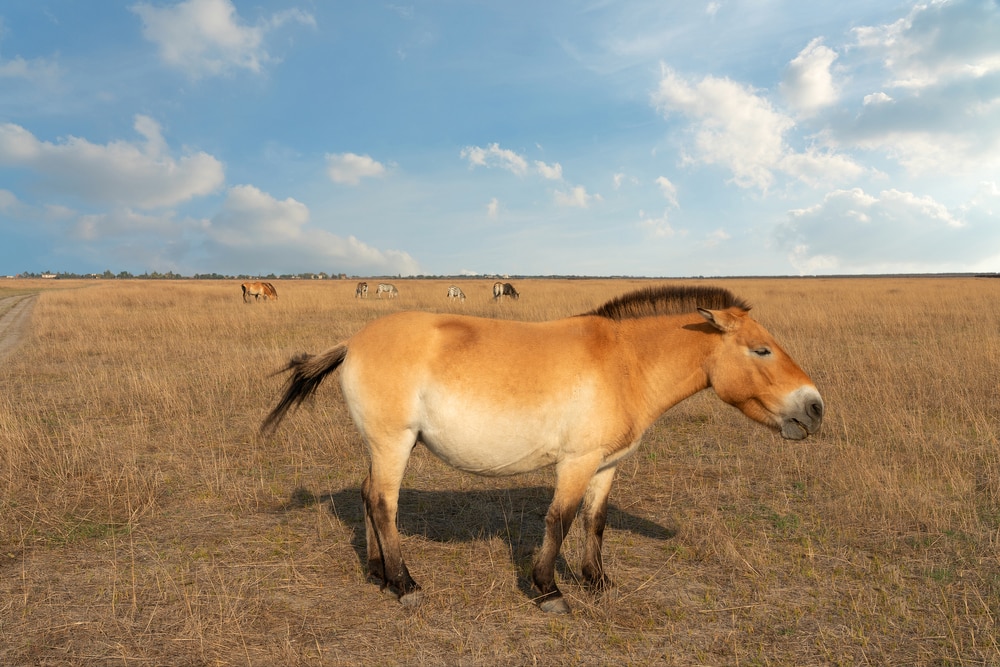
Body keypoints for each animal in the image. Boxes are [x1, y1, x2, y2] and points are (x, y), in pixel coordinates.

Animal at [261, 285, 824, 614]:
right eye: (761, 350)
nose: (815, 407)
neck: (625, 363)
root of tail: (353, 342)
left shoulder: (605, 464)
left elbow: (595, 521)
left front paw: (597, 582)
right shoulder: (576, 463)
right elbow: (560, 518)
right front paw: (549, 590)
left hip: (380, 446)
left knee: (366, 495)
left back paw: (378, 575)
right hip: (392, 443)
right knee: (383, 503)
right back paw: (405, 584)